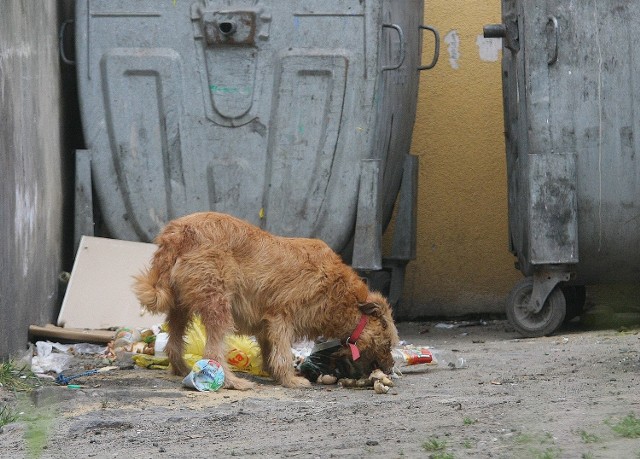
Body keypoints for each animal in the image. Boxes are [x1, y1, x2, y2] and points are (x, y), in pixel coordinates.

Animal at [132, 211, 398, 388]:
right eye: (389, 343)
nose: (391, 368)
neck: (339, 292)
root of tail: (178, 232)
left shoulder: (267, 323)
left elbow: (269, 349)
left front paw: (274, 373)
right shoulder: (282, 318)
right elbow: (282, 352)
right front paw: (290, 379)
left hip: (180, 306)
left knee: (174, 342)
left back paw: (182, 369)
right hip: (218, 304)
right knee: (214, 351)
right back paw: (232, 382)